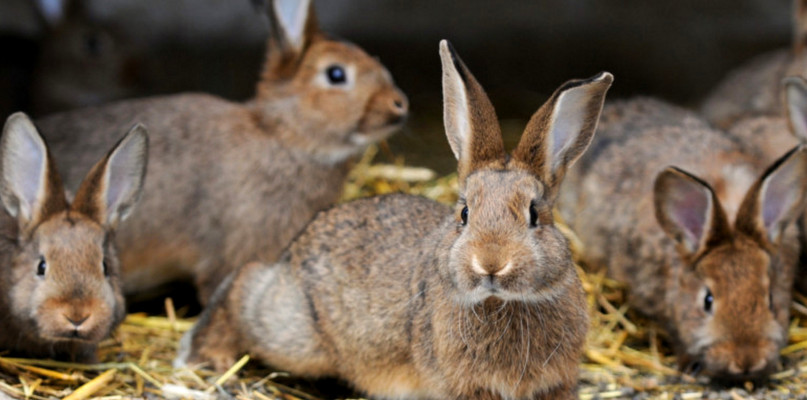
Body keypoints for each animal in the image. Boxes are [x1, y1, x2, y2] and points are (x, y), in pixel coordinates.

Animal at [172, 41, 612, 400]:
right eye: (464, 213)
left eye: (535, 215)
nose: (490, 263)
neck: (502, 302)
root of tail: (294, 249)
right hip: (295, 332)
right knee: (243, 286)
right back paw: (204, 354)